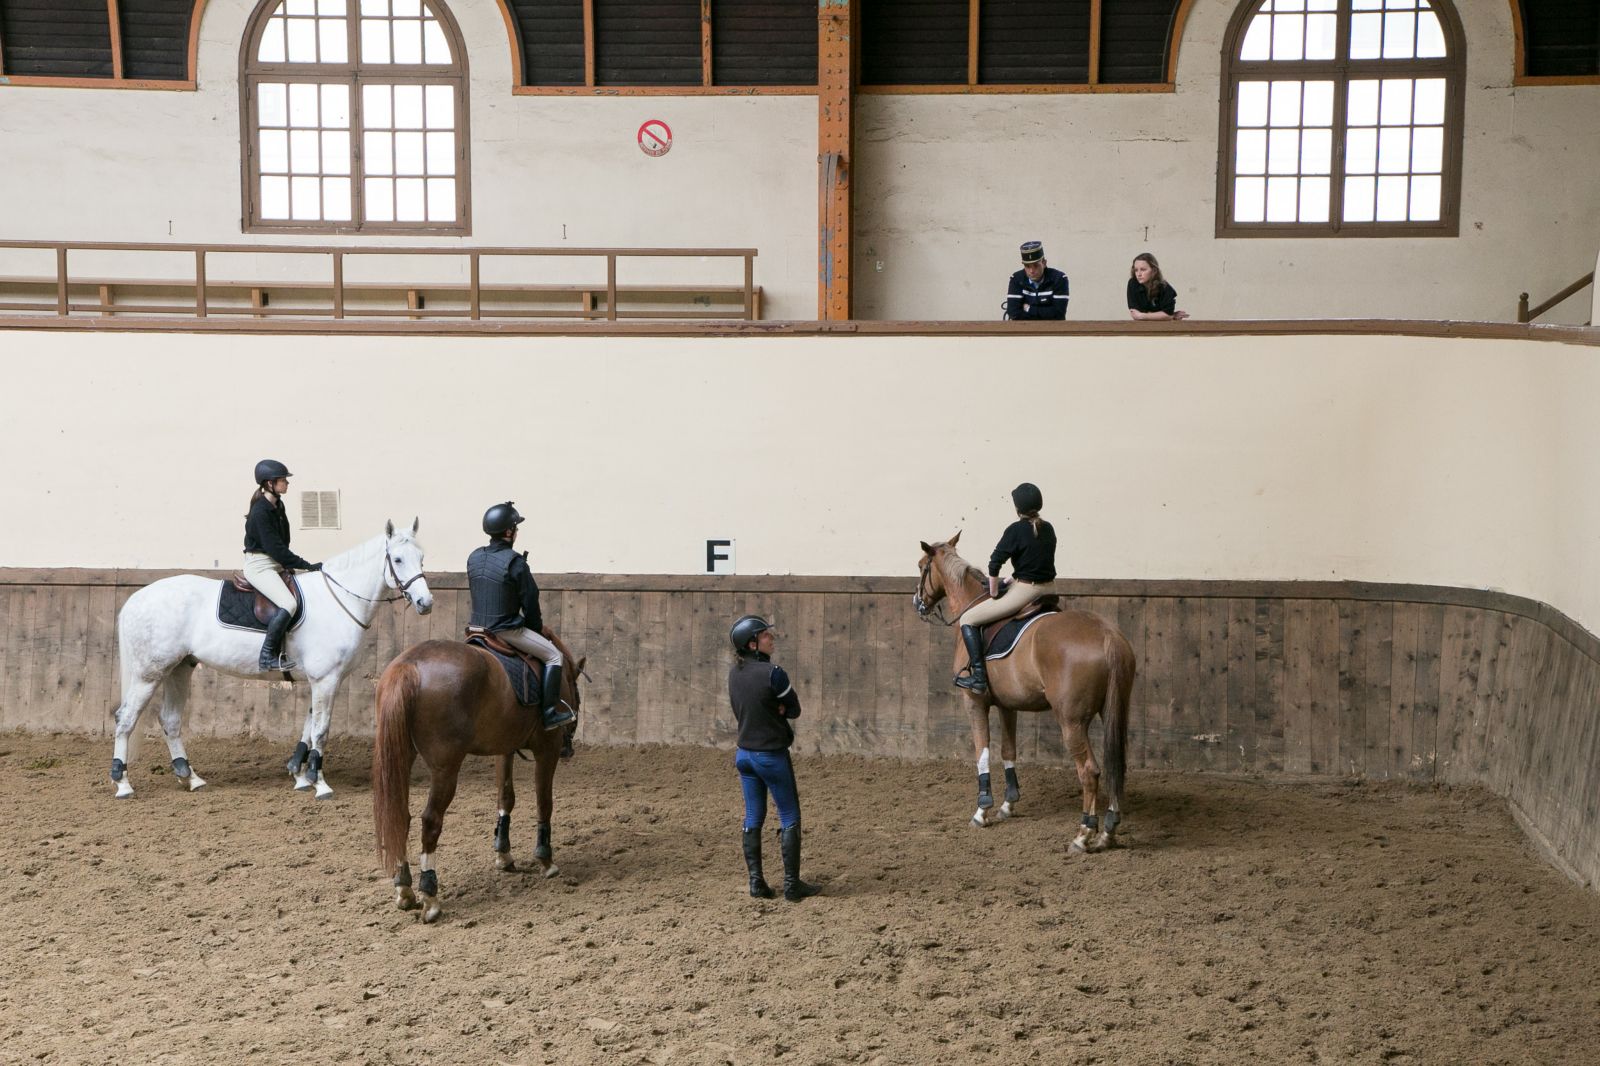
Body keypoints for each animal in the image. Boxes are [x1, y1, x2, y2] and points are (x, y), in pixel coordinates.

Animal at [107, 515, 435, 797]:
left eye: (421, 558)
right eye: (397, 559)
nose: (425, 603)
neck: (338, 600)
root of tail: (138, 597)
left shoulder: (323, 680)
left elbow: (309, 726)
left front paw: (300, 774)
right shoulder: (325, 679)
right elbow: (321, 731)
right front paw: (320, 783)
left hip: (179, 668)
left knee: (171, 720)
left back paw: (190, 777)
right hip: (149, 674)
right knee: (126, 719)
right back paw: (123, 783)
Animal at [372, 630, 588, 921]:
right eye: (577, 695)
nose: (568, 750)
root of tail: (410, 665)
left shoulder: (505, 747)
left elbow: (506, 797)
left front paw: (504, 856)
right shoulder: (547, 749)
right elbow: (544, 802)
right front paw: (546, 860)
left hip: (402, 758)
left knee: (400, 818)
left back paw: (404, 889)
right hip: (446, 768)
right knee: (430, 821)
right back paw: (430, 897)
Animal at [915, 534, 1139, 851]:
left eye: (921, 566)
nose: (918, 603)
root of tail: (1107, 634)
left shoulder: (974, 702)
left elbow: (982, 751)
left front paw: (982, 810)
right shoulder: (1008, 705)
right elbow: (1008, 750)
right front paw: (1008, 805)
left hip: (1071, 721)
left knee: (1089, 771)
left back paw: (1083, 834)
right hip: (1112, 712)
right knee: (1115, 767)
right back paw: (1108, 832)